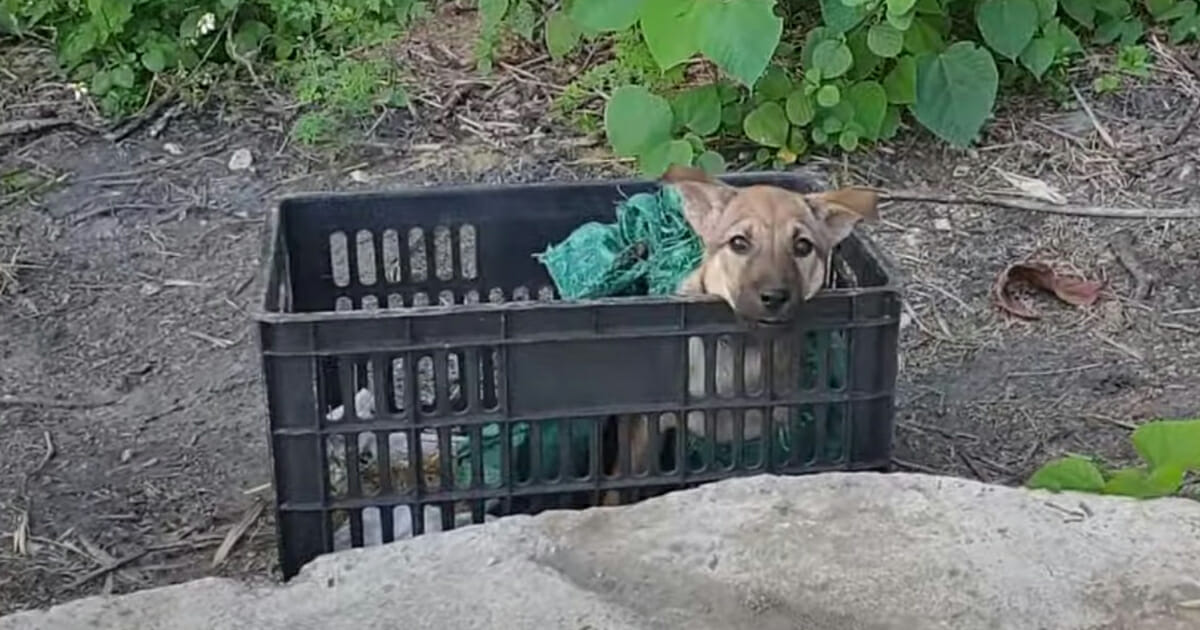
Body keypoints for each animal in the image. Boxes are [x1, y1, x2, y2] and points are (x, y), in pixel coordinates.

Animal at [600, 164, 883, 504]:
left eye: (803, 246)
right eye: (739, 243)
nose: (774, 297)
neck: (740, 351)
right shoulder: (644, 430)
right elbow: (616, 489)